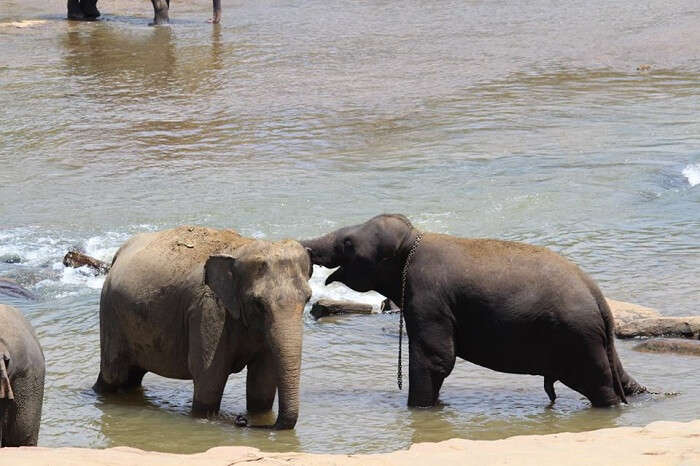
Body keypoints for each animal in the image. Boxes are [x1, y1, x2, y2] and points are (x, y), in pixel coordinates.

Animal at [93, 226, 312, 429]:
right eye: (258, 303)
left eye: (308, 298)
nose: (242, 421)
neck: (241, 249)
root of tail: (117, 256)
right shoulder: (208, 311)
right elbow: (209, 379)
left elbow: (262, 385)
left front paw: (260, 416)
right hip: (111, 315)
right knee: (114, 374)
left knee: (132, 376)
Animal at [302, 214, 646, 408]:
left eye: (348, 243)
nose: (304, 250)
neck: (412, 240)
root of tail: (598, 298)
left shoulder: (427, 296)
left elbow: (436, 358)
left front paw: (419, 411)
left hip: (577, 338)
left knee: (600, 387)